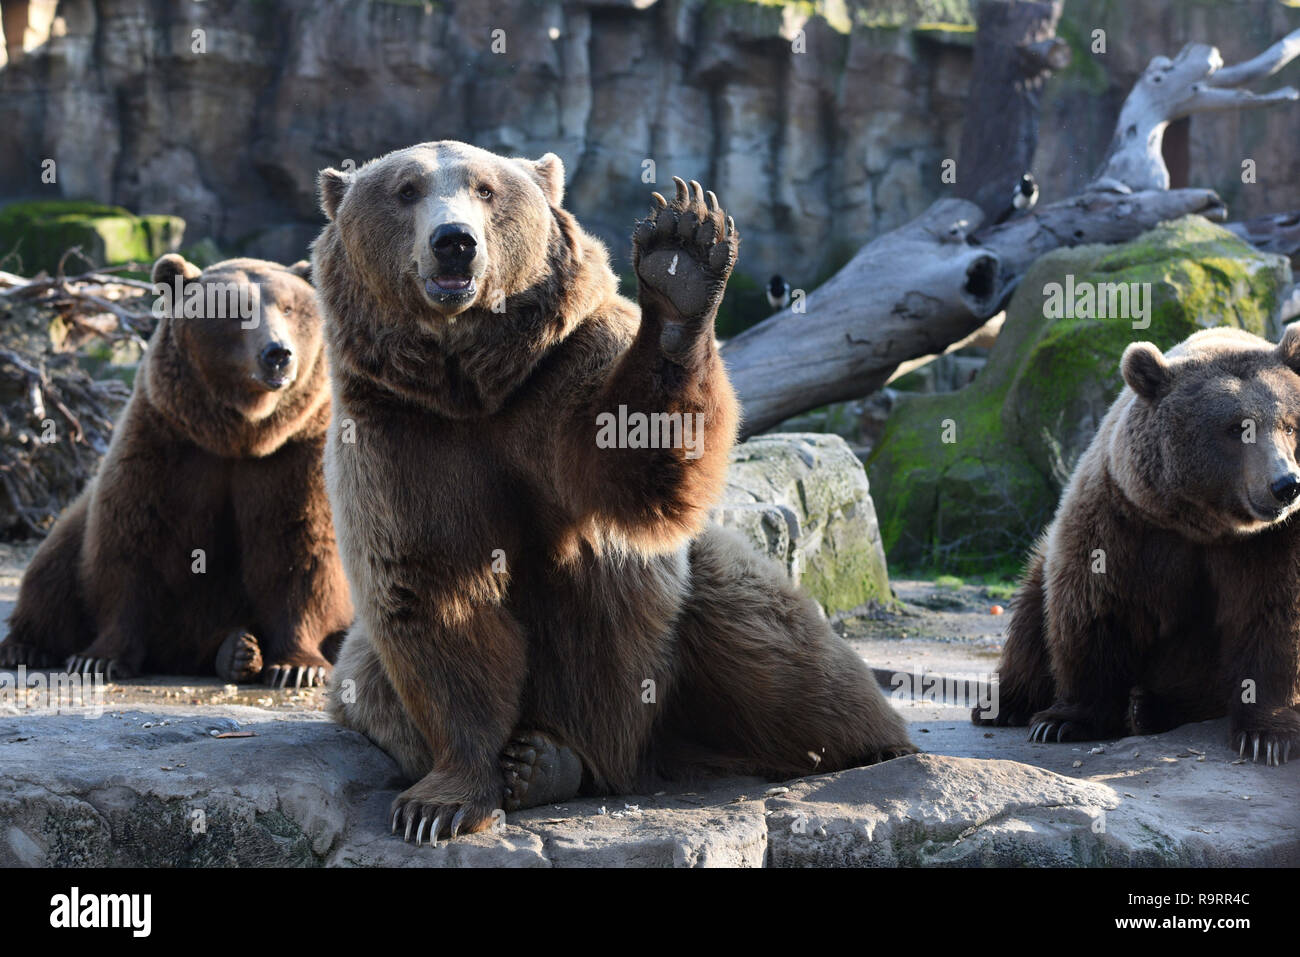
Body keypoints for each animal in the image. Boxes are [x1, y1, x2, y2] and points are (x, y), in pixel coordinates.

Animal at [0, 254, 353, 686]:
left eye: (288, 308)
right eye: (236, 309)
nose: (278, 353)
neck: (241, 436)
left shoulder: (294, 455)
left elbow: (303, 547)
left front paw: (298, 667)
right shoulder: (167, 446)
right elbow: (132, 542)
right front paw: (99, 659)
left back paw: (238, 651)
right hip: (75, 529)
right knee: (50, 572)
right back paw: (24, 646)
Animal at [313, 138, 915, 842]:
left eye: (486, 188)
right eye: (406, 190)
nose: (454, 242)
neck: (472, 386)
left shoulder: (561, 373)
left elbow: (634, 459)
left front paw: (682, 257)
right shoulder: (397, 434)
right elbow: (433, 588)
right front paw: (442, 802)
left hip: (705, 604)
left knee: (788, 664)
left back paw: (875, 742)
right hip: (363, 667)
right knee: (370, 685)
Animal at [977, 325, 1300, 764]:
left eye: (1290, 425)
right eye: (1237, 427)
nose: (1286, 484)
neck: (1208, 525)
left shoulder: (1277, 540)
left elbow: (1275, 615)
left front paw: (1268, 737)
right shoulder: (1125, 519)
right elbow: (1096, 606)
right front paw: (1063, 720)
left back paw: (1149, 708)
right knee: (1030, 612)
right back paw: (1005, 704)